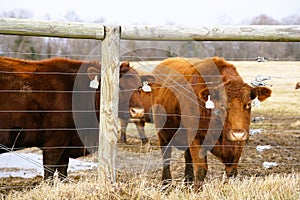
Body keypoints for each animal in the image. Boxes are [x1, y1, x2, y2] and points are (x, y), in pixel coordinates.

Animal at [0, 56, 144, 180]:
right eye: (118, 86)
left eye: (139, 87)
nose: (138, 112)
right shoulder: (54, 144)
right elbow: (49, 175)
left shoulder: (65, 146)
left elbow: (63, 173)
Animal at [151, 57, 270, 189]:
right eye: (222, 104)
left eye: (248, 104)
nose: (237, 134)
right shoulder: (196, 137)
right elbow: (201, 168)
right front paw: (197, 190)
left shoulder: (238, 144)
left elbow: (232, 171)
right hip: (163, 133)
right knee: (166, 156)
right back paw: (166, 184)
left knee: (187, 157)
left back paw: (188, 182)